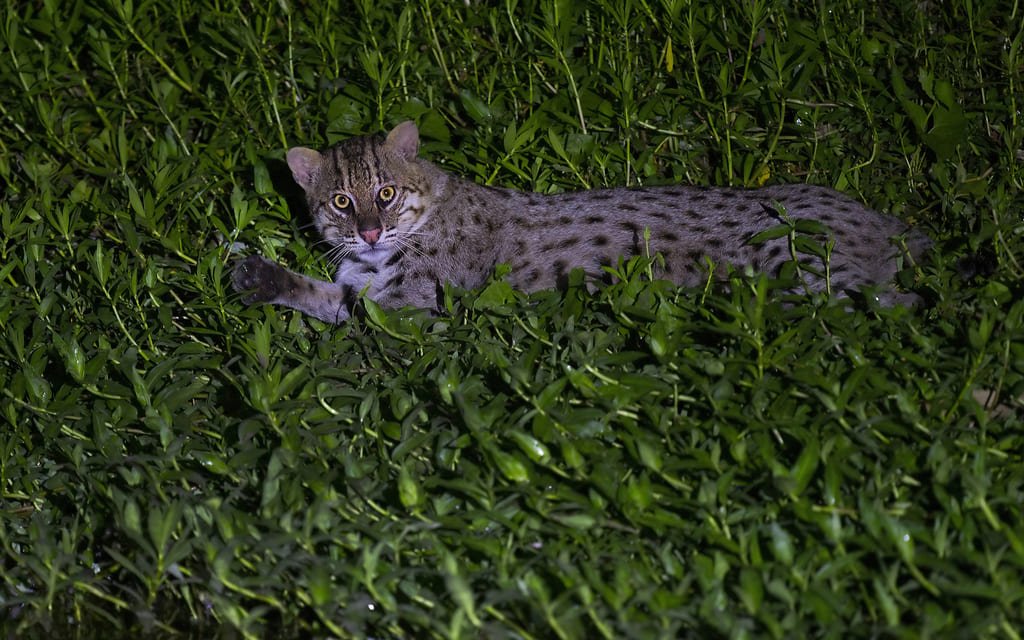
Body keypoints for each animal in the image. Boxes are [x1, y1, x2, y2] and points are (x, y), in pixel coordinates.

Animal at [232, 120, 929, 321]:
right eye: (341, 202)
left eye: (385, 192)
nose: (370, 231)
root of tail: (885, 220)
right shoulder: (365, 288)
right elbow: (324, 294)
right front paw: (260, 276)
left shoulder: (414, 305)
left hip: (799, 270)